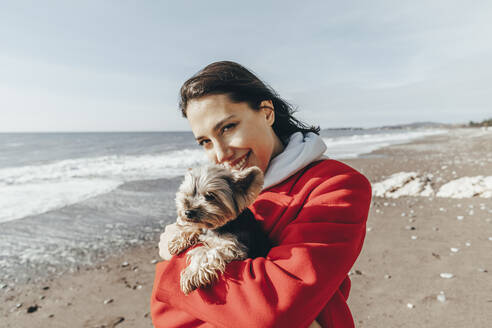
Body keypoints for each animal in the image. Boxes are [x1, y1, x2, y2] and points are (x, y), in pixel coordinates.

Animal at [168, 164, 270, 294]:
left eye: (210, 196)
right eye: (188, 193)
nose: (188, 212)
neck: (221, 226)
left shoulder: (234, 247)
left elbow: (205, 252)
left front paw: (191, 274)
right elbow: (197, 228)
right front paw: (179, 240)